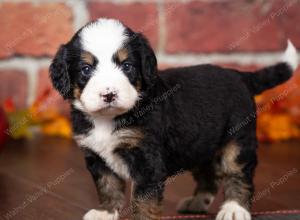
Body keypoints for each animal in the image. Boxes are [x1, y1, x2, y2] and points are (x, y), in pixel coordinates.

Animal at [49, 18, 298, 220]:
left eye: (127, 66)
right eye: (85, 69)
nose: (109, 94)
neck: (108, 119)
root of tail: (239, 75)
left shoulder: (147, 160)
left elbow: (143, 199)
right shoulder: (97, 158)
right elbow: (107, 186)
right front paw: (105, 212)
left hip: (237, 141)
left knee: (238, 174)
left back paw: (235, 208)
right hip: (201, 145)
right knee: (209, 177)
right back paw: (196, 203)